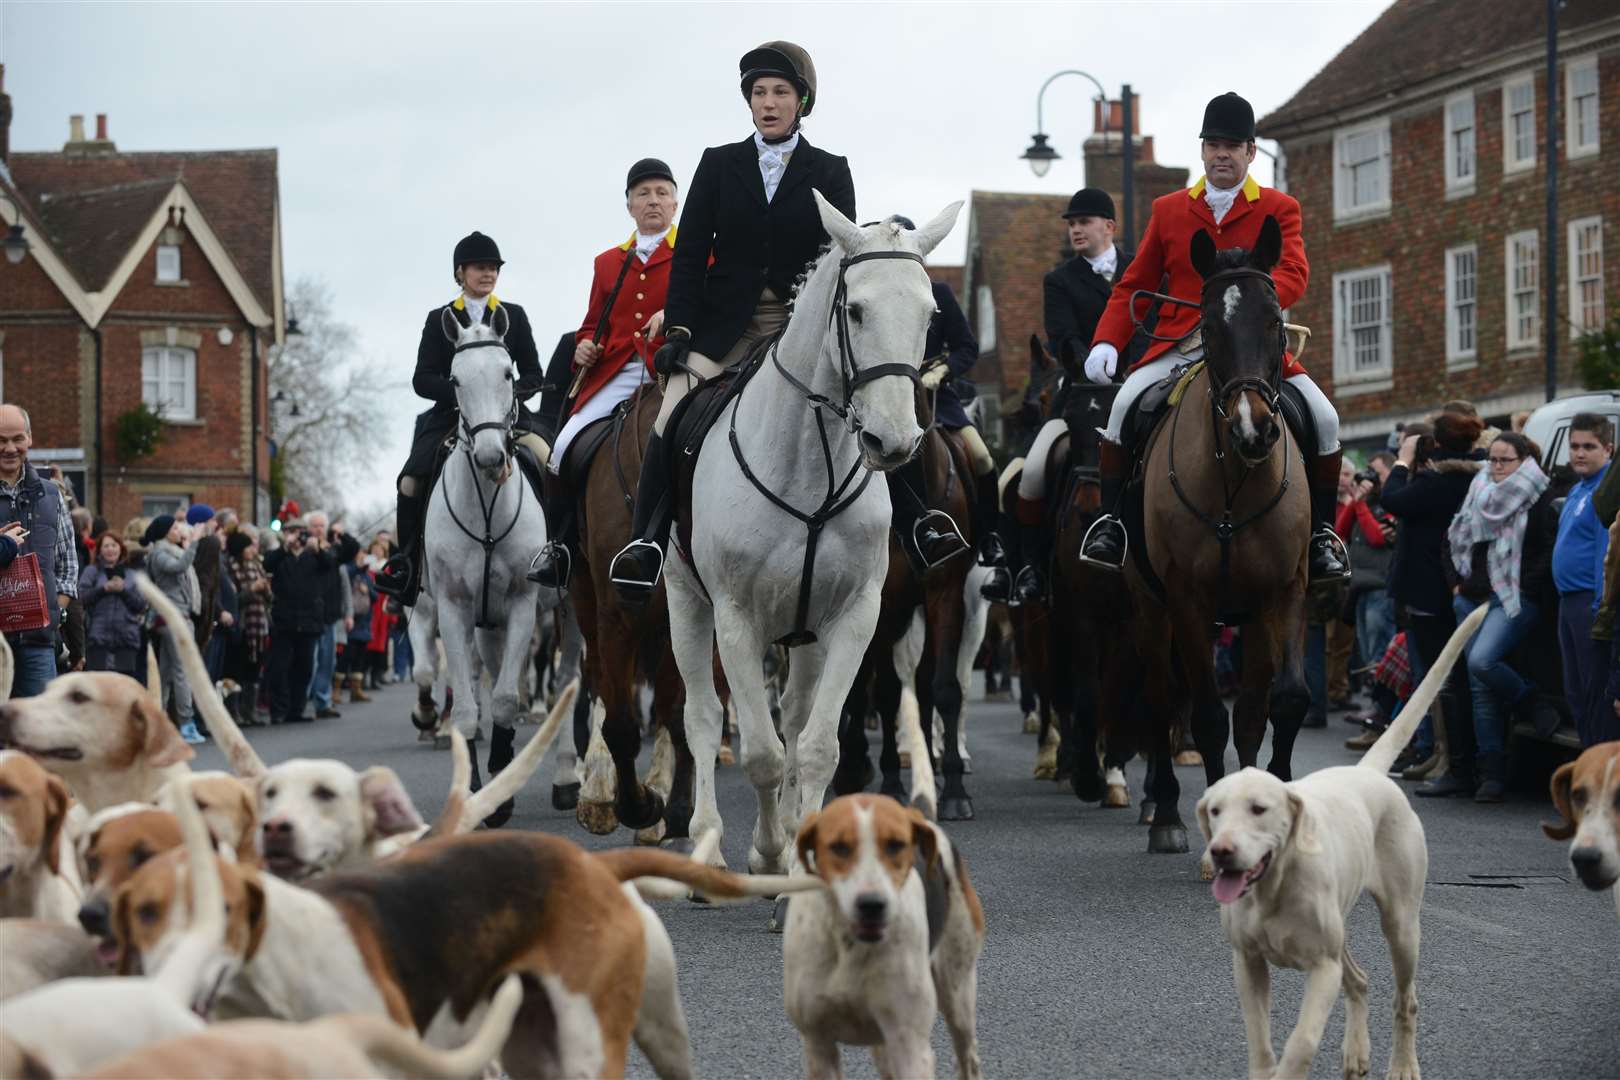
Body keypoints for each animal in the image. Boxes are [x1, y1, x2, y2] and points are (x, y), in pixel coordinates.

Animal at [667, 196, 959, 880]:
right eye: (855, 310)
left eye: (929, 313)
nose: (892, 441)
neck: (809, 470)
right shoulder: (736, 620)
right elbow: (761, 752)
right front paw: (770, 854)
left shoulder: (855, 616)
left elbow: (816, 745)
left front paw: (801, 866)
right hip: (684, 600)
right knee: (701, 716)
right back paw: (707, 840)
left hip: (803, 633)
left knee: (796, 721)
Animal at [1127, 220, 1315, 854]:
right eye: (1208, 326)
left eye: (1276, 320)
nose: (1253, 429)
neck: (1235, 476)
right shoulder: (1187, 599)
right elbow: (1207, 716)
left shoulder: (1283, 591)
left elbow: (1281, 702)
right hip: (1152, 607)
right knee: (1160, 697)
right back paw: (1163, 812)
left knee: (1250, 707)